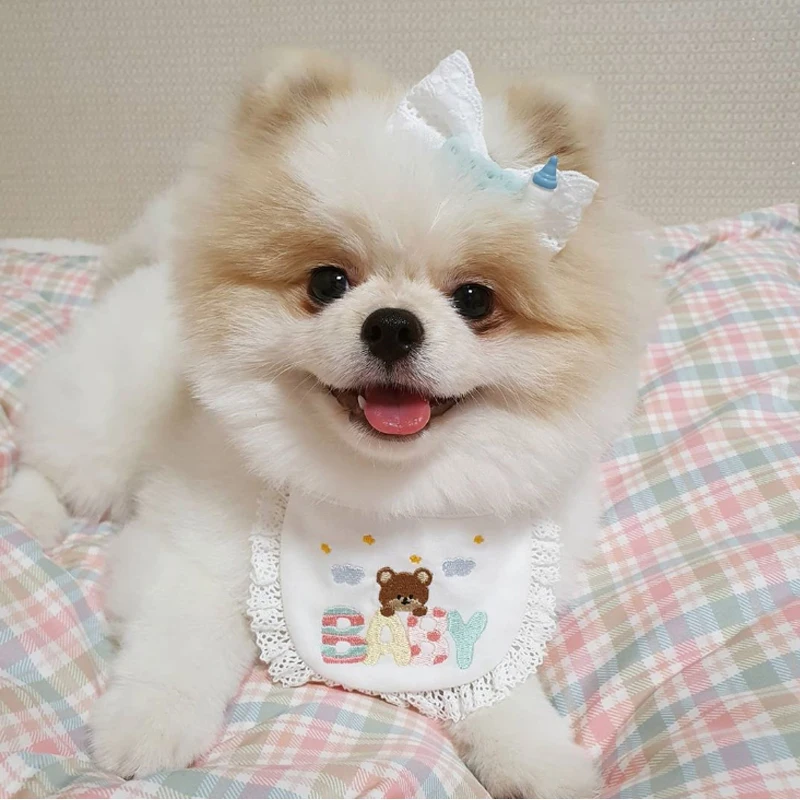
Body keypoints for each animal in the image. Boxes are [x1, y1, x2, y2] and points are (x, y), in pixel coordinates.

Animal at [0, 49, 658, 796]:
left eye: (474, 298)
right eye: (327, 282)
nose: (393, 324)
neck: (381, 492)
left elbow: (497, 684)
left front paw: (541, 760)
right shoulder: (190, 544)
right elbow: (183, 636)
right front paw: (147, 723)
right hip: (103, 436)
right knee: (46, 465)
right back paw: (35, 516)